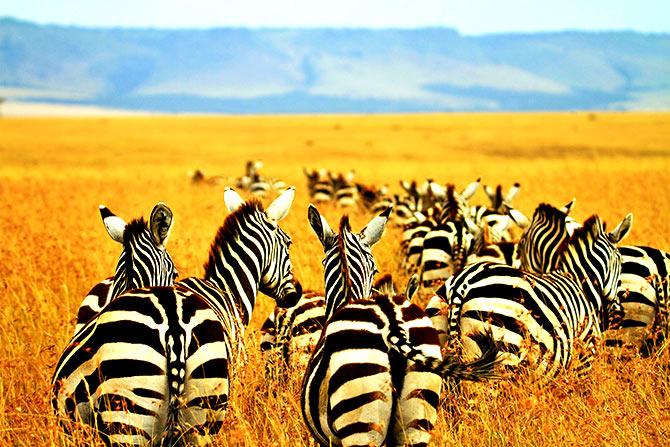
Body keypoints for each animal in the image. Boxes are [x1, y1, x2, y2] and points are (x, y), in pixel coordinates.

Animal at [428, 212, 632, 380]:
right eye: (622, 263)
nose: (619, 315)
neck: (583, 285)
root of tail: (463, 283)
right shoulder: (584, 357)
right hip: (503, 352)